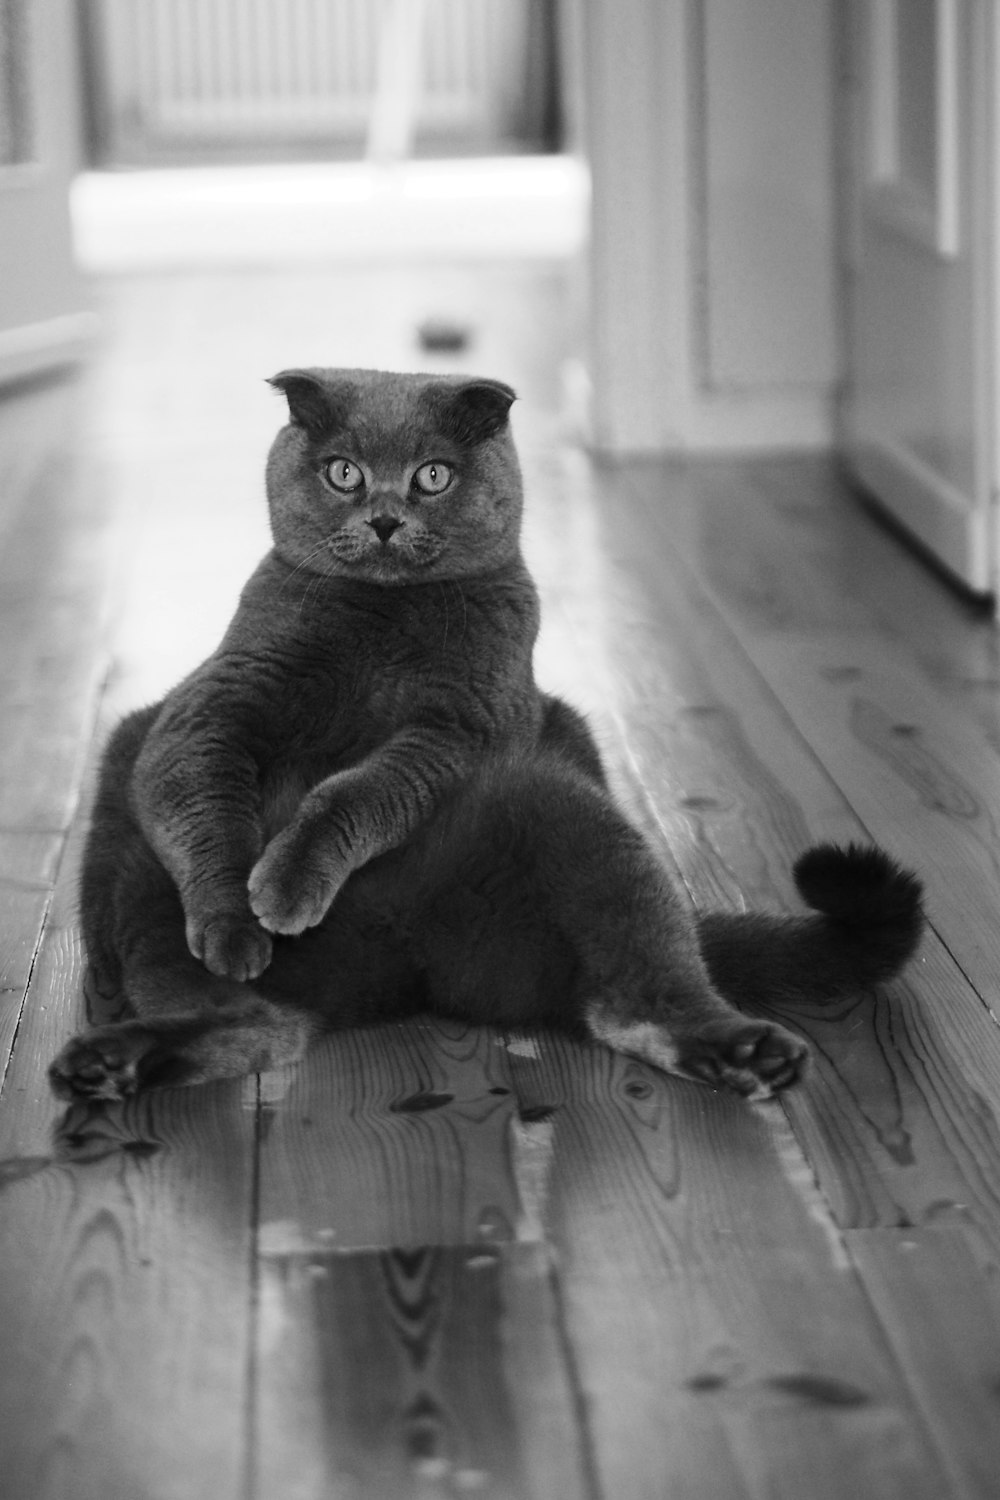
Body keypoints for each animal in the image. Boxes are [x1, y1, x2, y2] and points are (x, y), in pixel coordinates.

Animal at [46, 369, 923, 1110]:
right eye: (343, 472)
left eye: (433, 475)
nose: (385, 517)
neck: (380, 622)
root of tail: (400, 971)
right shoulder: (207, 711)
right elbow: (209, 805)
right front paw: (237, 923)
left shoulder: (461, 728)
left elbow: (354, 790)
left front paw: (287, 884)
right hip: (131, 859)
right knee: (254, 1024)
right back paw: (110, 1061)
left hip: (568, 811)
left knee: (640, 996)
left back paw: (744, 1050)